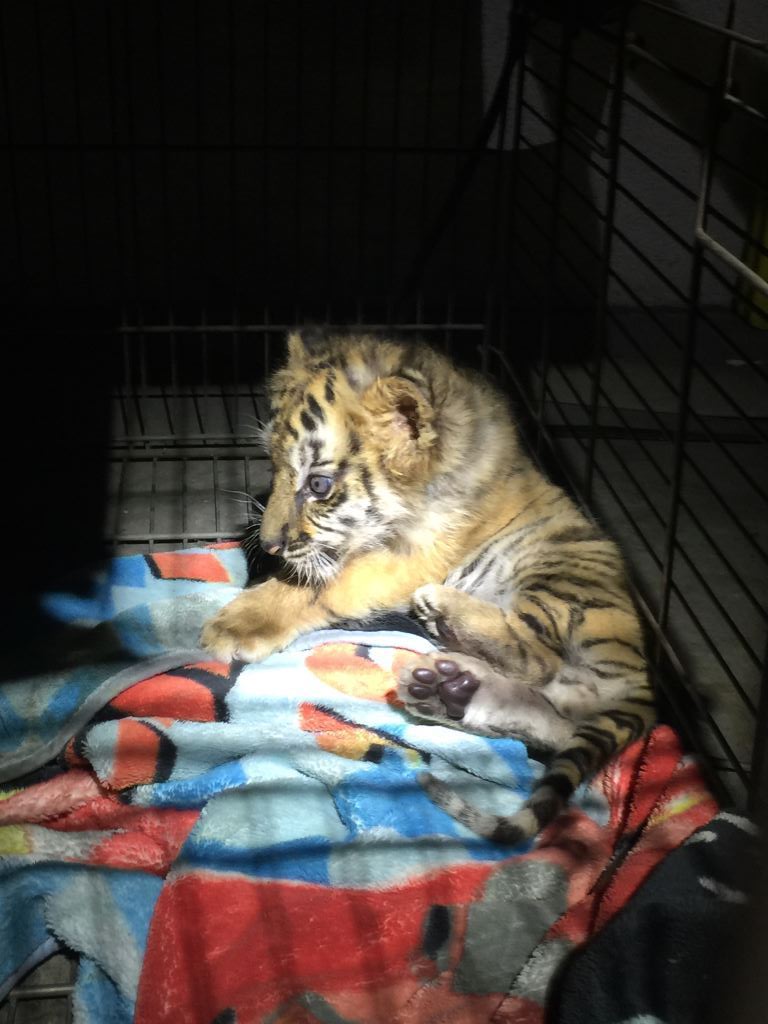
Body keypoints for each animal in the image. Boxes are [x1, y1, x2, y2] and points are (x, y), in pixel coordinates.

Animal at [201, 328, 655, 845]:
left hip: (560, 574)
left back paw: (440, 610)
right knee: (554, 719)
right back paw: (447, 690)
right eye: (272, 467)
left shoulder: (415, 556)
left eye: (318, 485)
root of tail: (640, 672)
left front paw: (237, 624)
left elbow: (317, 584)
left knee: (539, 658)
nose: (269, 545)